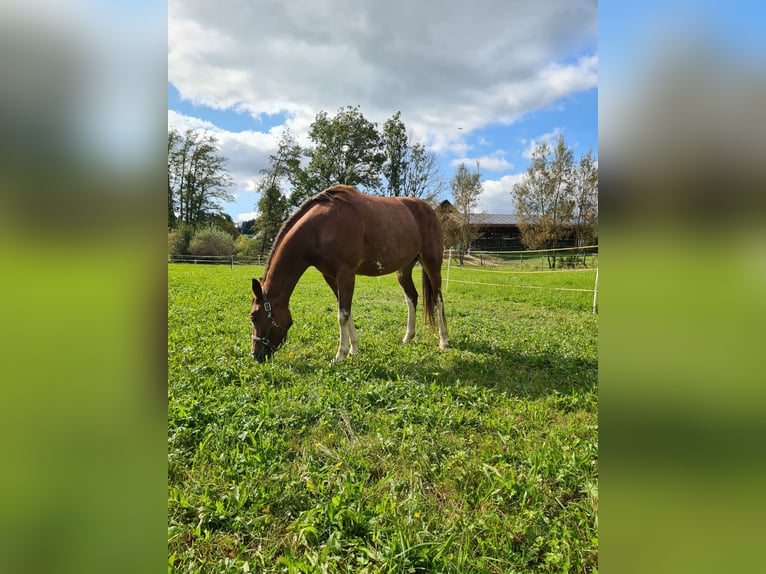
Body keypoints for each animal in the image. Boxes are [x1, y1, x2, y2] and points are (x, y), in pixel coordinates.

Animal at [250, 186, 450, 364]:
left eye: (253, 317)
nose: (255, 355)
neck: (319, 229)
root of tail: (430, 210)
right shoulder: (330, 276)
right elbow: (346, 310)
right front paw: (354, 349)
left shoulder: (346, 273)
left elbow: (342, 315)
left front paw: (340, 354)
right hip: (404, 269)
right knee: (411, 298)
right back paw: (407, 338)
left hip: (431, 263)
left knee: (437, 299)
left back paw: (443, 341)